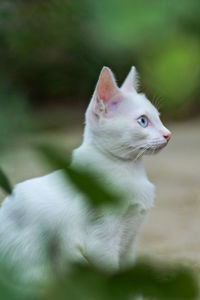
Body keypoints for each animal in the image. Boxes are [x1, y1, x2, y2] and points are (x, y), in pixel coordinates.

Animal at [0, 67, 171, 288]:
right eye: (143, 121)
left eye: (159, 118)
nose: (168, 134)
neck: (131, 171)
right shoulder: (100, 245)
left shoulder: (130, 242)